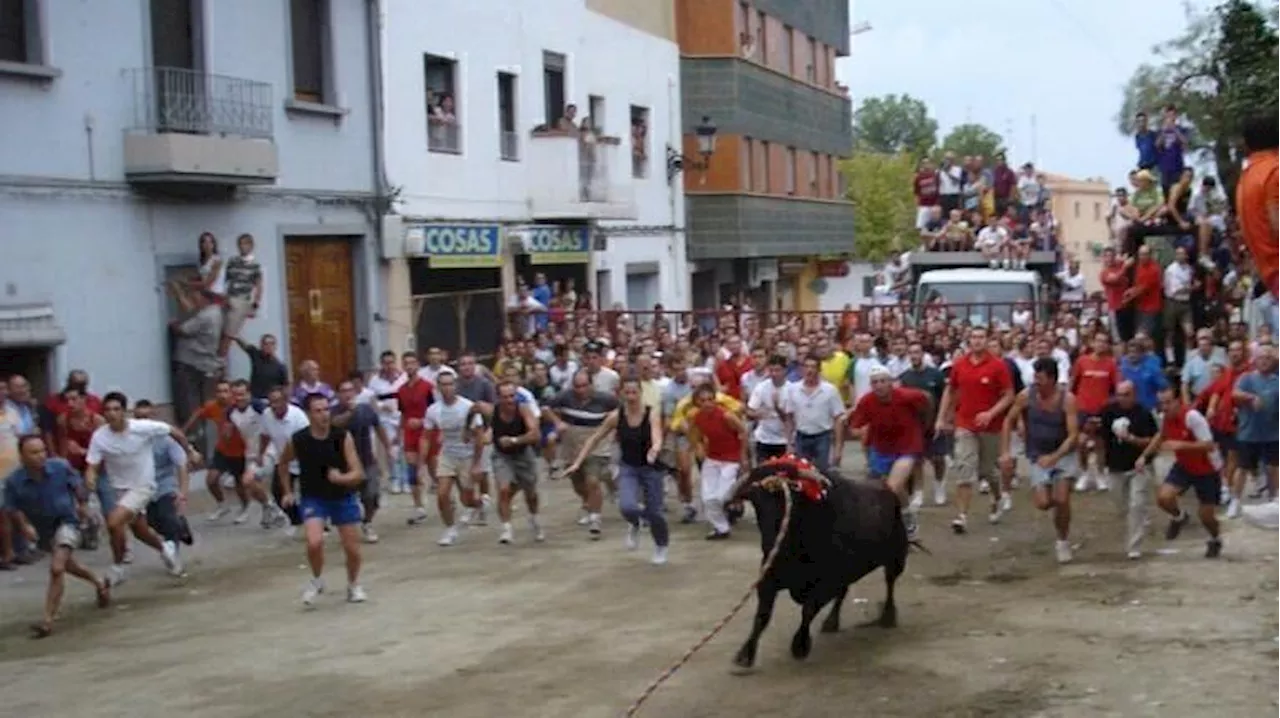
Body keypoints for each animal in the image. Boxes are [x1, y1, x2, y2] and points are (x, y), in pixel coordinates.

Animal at [732, 460, 911, 670]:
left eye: (787, 503)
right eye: (757, 503)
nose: (770, 544)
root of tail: (889, 491)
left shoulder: (826, 584)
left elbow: (808, 610)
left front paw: (800, 646)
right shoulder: (768, 579)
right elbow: (762, 616)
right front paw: (745, 654)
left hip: (896, 559)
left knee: (889, 583)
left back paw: (887, 617)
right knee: (845, 592)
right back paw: (831, 622)